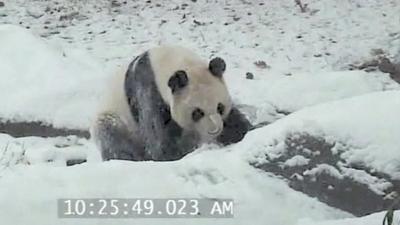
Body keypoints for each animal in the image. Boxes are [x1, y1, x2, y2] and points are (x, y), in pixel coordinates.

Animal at [92, 46, 252, 162]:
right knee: (112, 135)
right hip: (115, 120)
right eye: (197, 112)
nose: (215, 130)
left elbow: (234, 119)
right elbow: (155, 132)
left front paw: (244, 132)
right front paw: (171, 155)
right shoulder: (148, 89)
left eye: (220, 107)